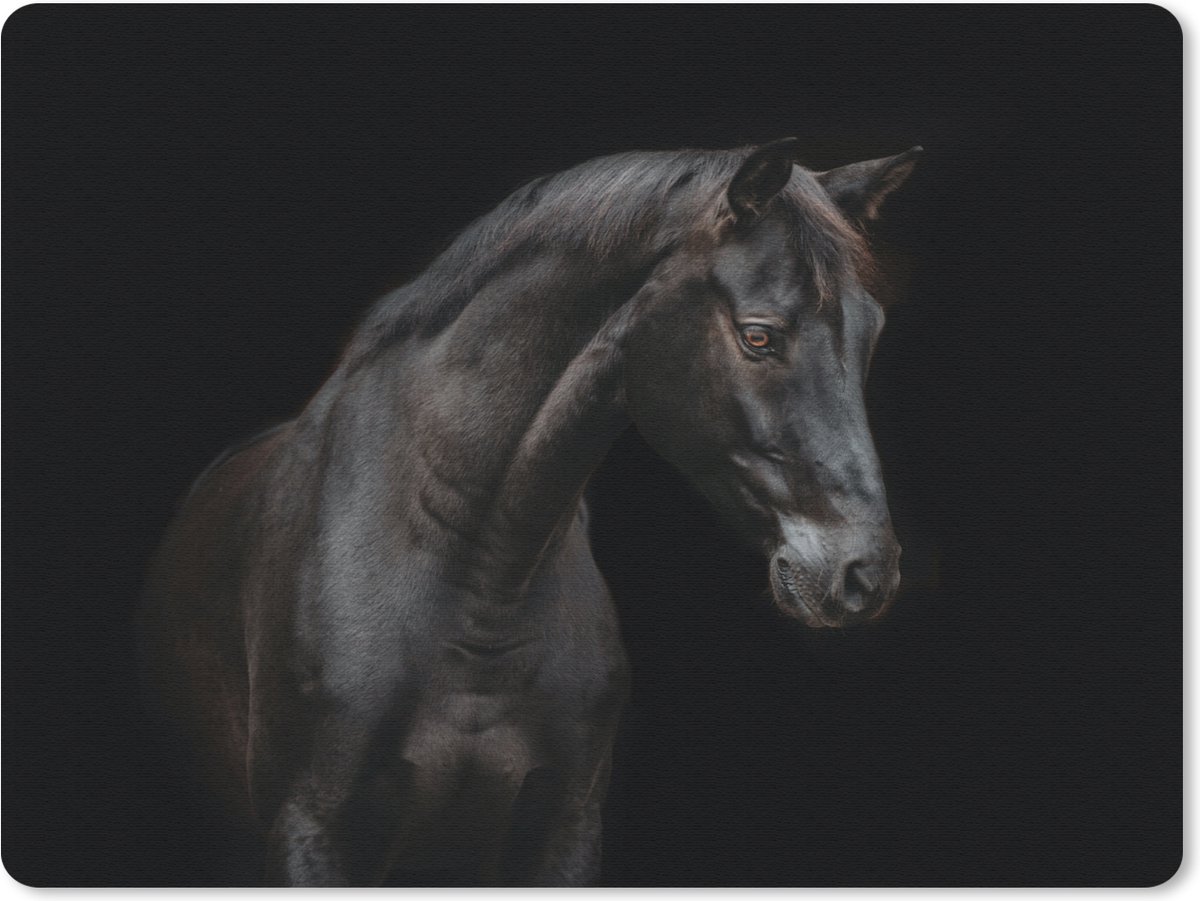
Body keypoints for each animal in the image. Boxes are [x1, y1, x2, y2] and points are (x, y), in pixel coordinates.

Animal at [141, 138, 920, 885]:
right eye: (759, 335)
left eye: (873, 331)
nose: (863, 574)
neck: (477, 581)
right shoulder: (314, 832)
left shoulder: (561, 830)